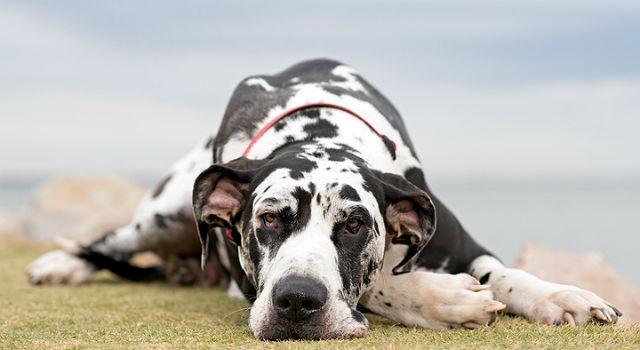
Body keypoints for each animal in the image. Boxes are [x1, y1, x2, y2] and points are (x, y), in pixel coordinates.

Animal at [27, 59, 624, 340]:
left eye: (355, 225)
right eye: (268, 220)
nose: (297, 302)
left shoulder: (459, 239)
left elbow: (506, 274)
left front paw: (562, 296)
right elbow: (380, 283)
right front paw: (442, 299)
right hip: (167, 207)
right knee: (111, 240)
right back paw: (60, 264)